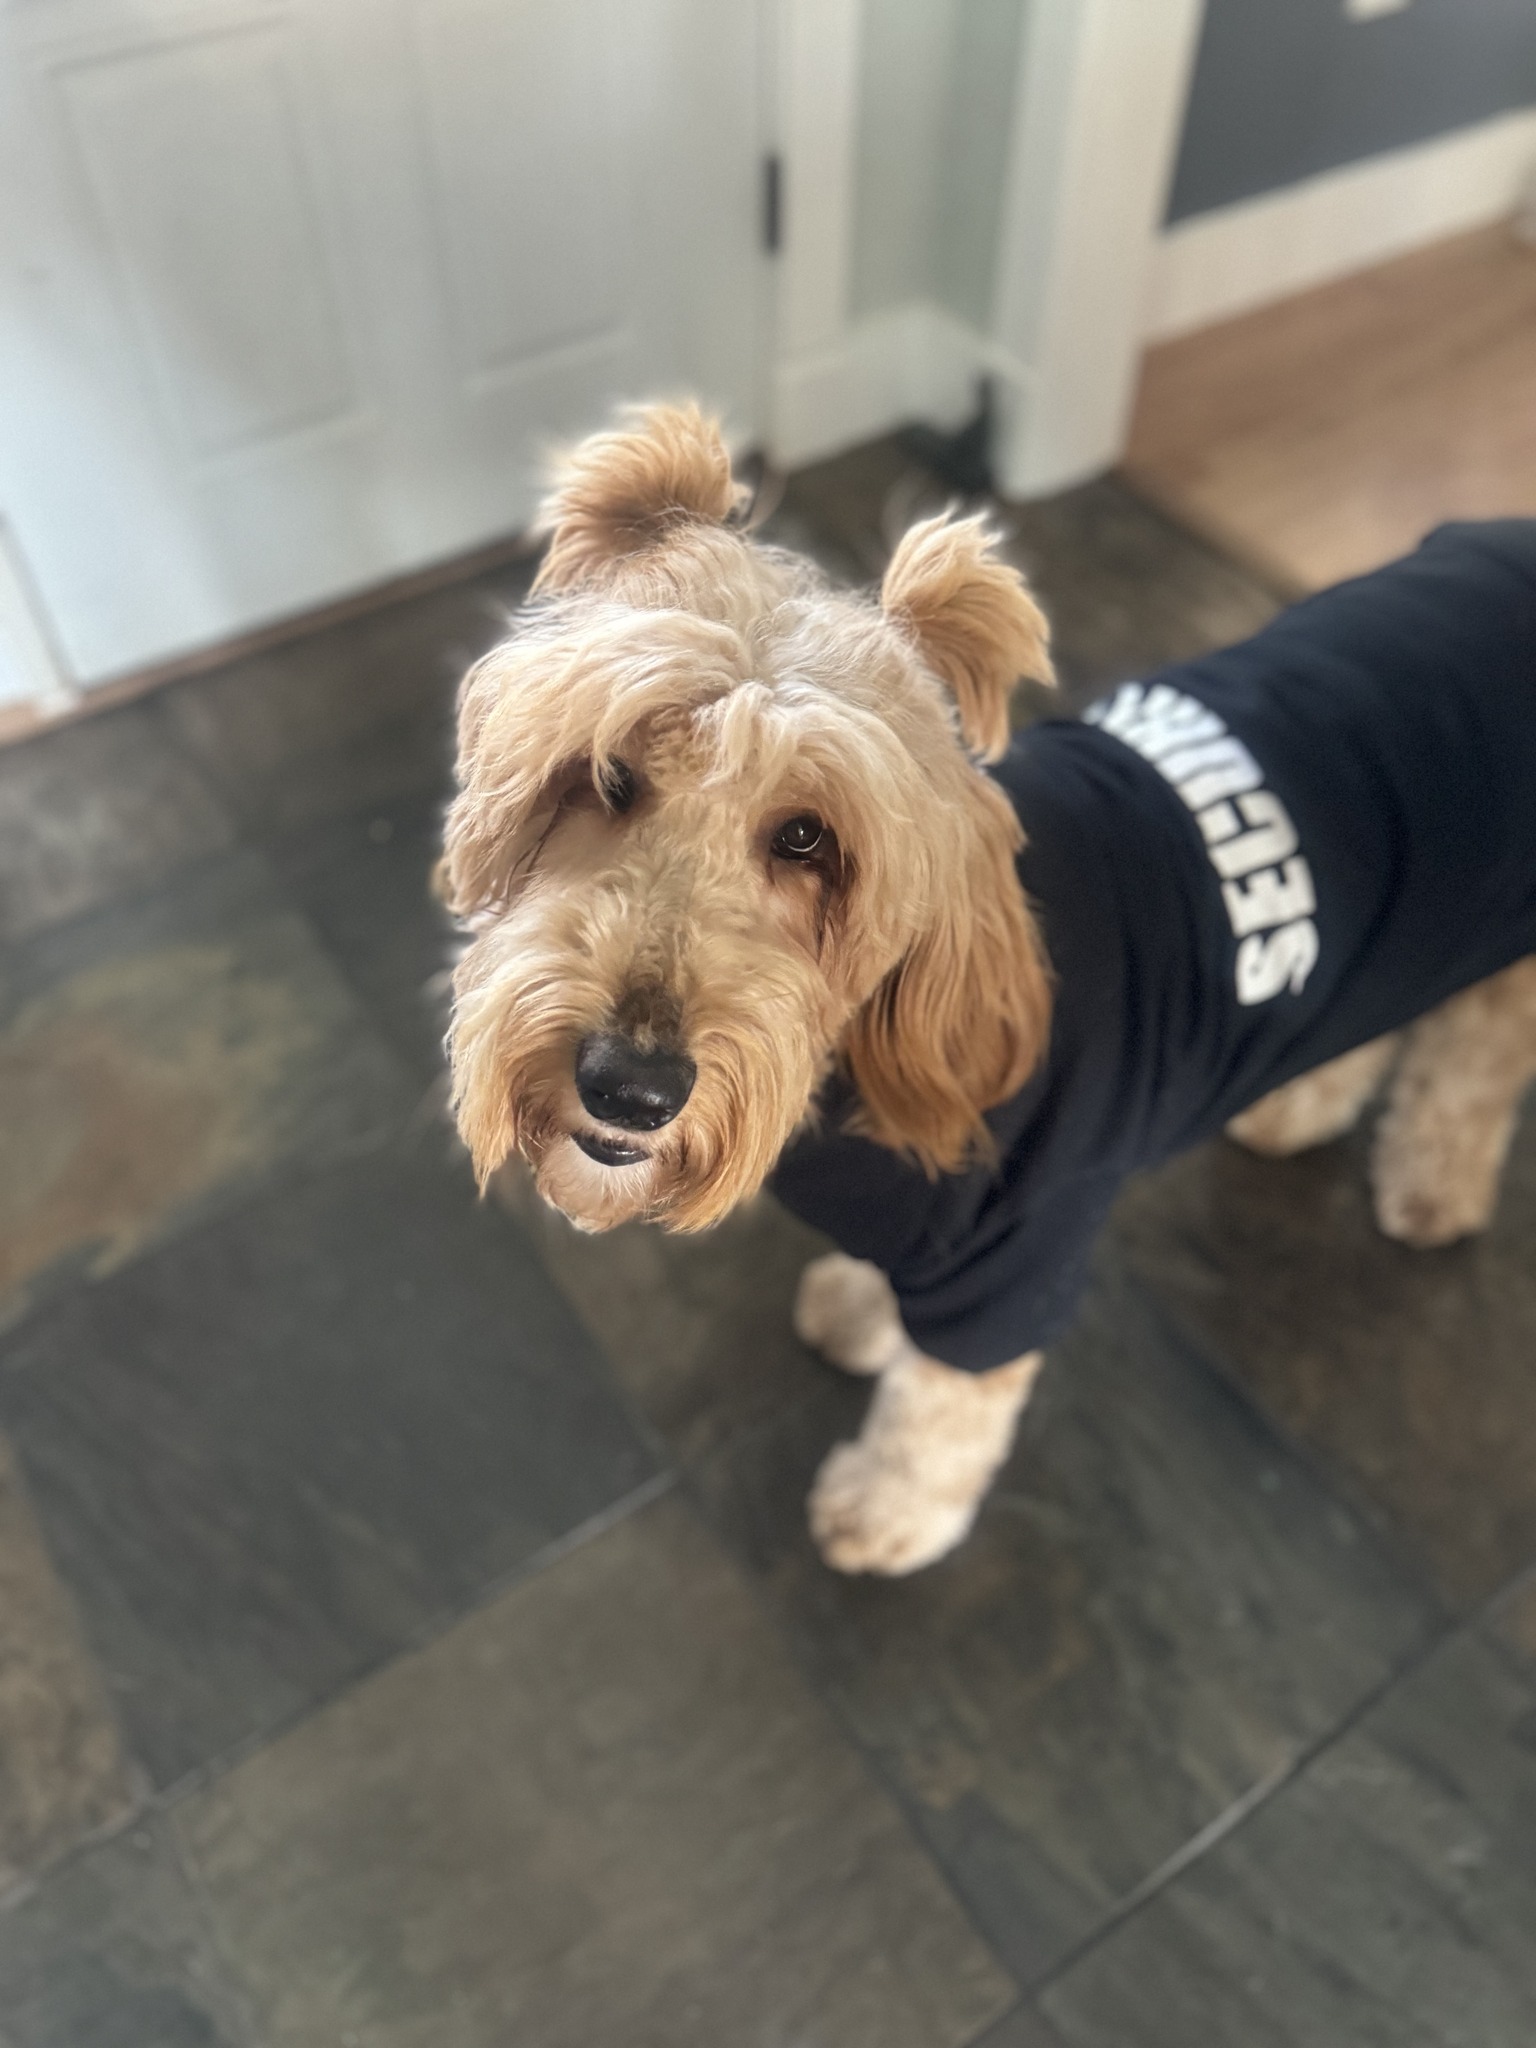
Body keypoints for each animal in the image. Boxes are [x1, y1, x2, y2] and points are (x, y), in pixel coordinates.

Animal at [438, 407, 1536, 1572]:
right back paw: (1303, 1105)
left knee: (1474, 1066)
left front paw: (885, 1511)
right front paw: (866, 1310)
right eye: (606, 776)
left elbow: (941, 1418)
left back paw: (1433, 1189)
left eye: (805, 837)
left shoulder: (1013, 1260)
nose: (631, 1086)